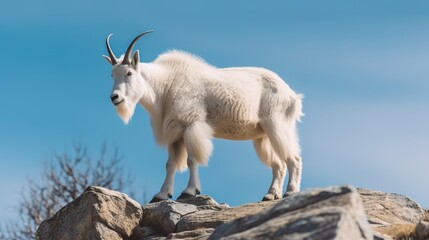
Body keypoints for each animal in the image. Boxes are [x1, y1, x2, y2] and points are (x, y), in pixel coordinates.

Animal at [103, 30, 304, 202]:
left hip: (277, 124)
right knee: (278, 164)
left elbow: (192, 160)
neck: (166, 86)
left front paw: (189, 191)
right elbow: (170, 164)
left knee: (293, 158)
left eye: (129, 73)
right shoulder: (175, 133)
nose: (115, 97)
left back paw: (290, 191)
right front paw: (161, 195)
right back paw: (271, 195)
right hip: (262, 135)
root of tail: (292, 95)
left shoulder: (192, 125)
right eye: (112, 74)